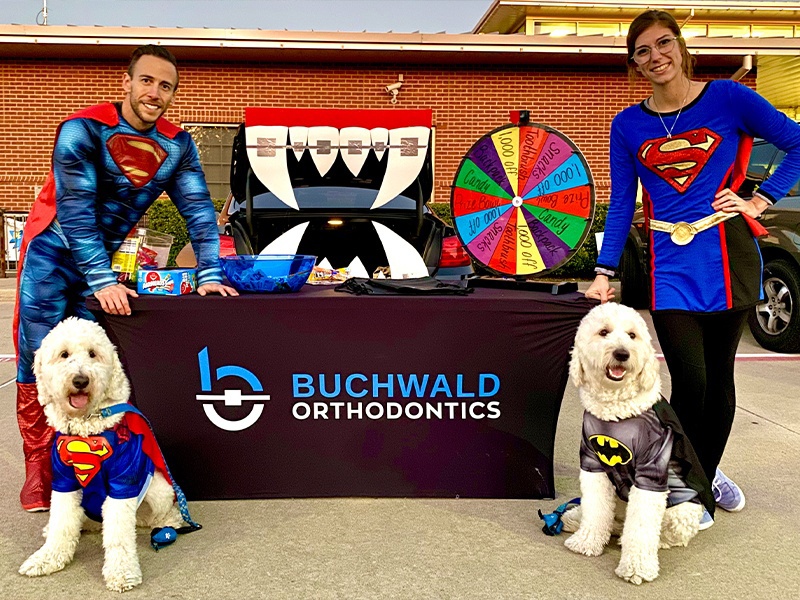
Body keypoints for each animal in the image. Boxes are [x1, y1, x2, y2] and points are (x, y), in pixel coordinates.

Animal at [20, 318, 188, 592]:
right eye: (64, 354)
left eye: (92, 354)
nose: (80, 380)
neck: (86, 430)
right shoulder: (63, 482)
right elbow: (61, 524)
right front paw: (48, 558)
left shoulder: (122, 483)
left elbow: (119, 535)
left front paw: (122, 572)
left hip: (158, 489)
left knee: (152, 516)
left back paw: (166, 522)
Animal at [564, 302, 700, 584]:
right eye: (603, 332)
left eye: (632, 335)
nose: (622, 353)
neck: (616, 411)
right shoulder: (593, 464)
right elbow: (596, 508)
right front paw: (587, 541)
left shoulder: (652, 472)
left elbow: (641, 526)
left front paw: (637, 567)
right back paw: (577, 518)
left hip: (683, 511)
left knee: (664, 532)